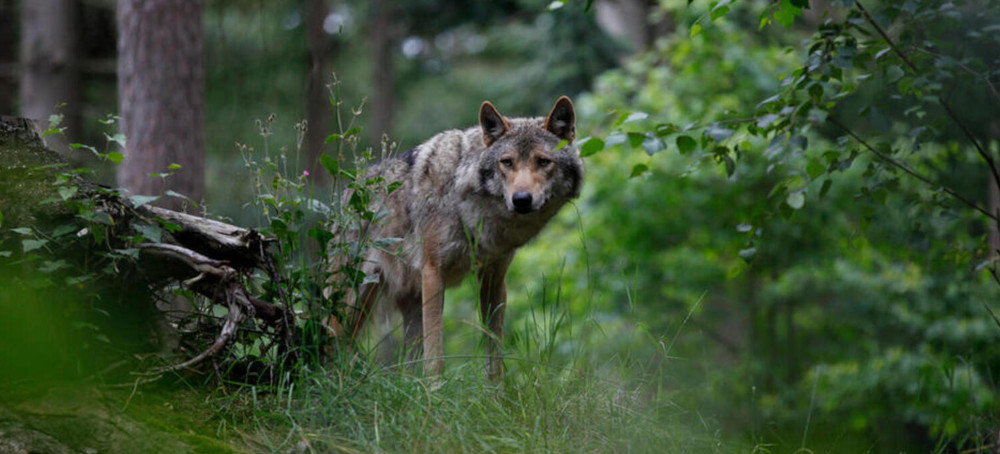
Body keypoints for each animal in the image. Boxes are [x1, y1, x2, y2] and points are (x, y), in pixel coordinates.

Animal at [327, 96, 584, 382]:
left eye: (543, 161)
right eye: (507, 162)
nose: (521, 199)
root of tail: (347, 191)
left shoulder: (494, 279)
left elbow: (495, 357)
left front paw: (497, 394)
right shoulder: (433, 273)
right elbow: (436, 358)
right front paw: (434, 391)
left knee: (403, 369)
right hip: (350, 303)